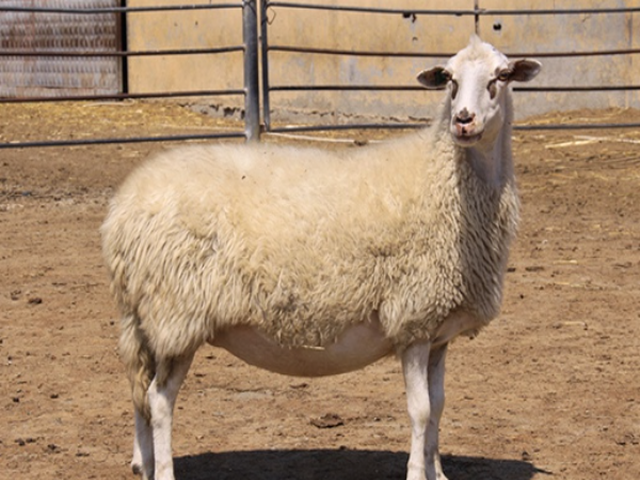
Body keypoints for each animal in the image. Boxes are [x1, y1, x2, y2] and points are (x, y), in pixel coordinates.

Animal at [101, 35, 541, 480]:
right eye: (449, 79)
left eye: (501, 77)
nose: (463, 120)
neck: (445, 180)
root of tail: (122, 208)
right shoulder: (413, 320)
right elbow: (420, 410)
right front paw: (418, 472)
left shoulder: (438, 331)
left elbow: (439, 405)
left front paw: (437, 472)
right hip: (175, 314)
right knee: (159, 399)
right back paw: (162, 470)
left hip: (146, 317)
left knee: (139, 390)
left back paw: (142, 462)